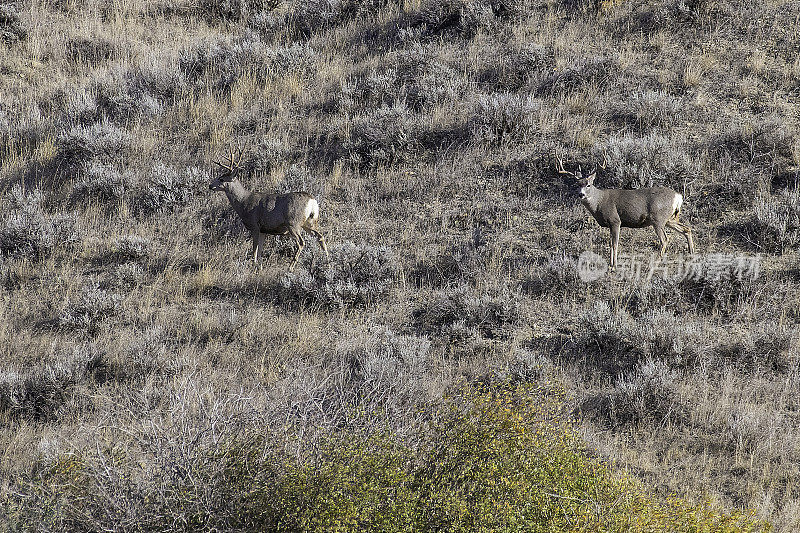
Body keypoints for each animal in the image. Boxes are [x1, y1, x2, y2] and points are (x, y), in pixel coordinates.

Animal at [556, 154, 692, 270]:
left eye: (588, 184)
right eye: (577, 184)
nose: (581, 194)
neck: (599, 203)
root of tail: (678, 196)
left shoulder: (615, 220)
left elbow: (615, 244)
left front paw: (614, 266)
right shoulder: (610, 224)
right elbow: (611, 243)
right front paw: (611, 264)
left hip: (658, 218)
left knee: (665, 239)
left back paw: (655, 263)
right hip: (669, 218)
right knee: (686, 229)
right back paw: (691, 253)